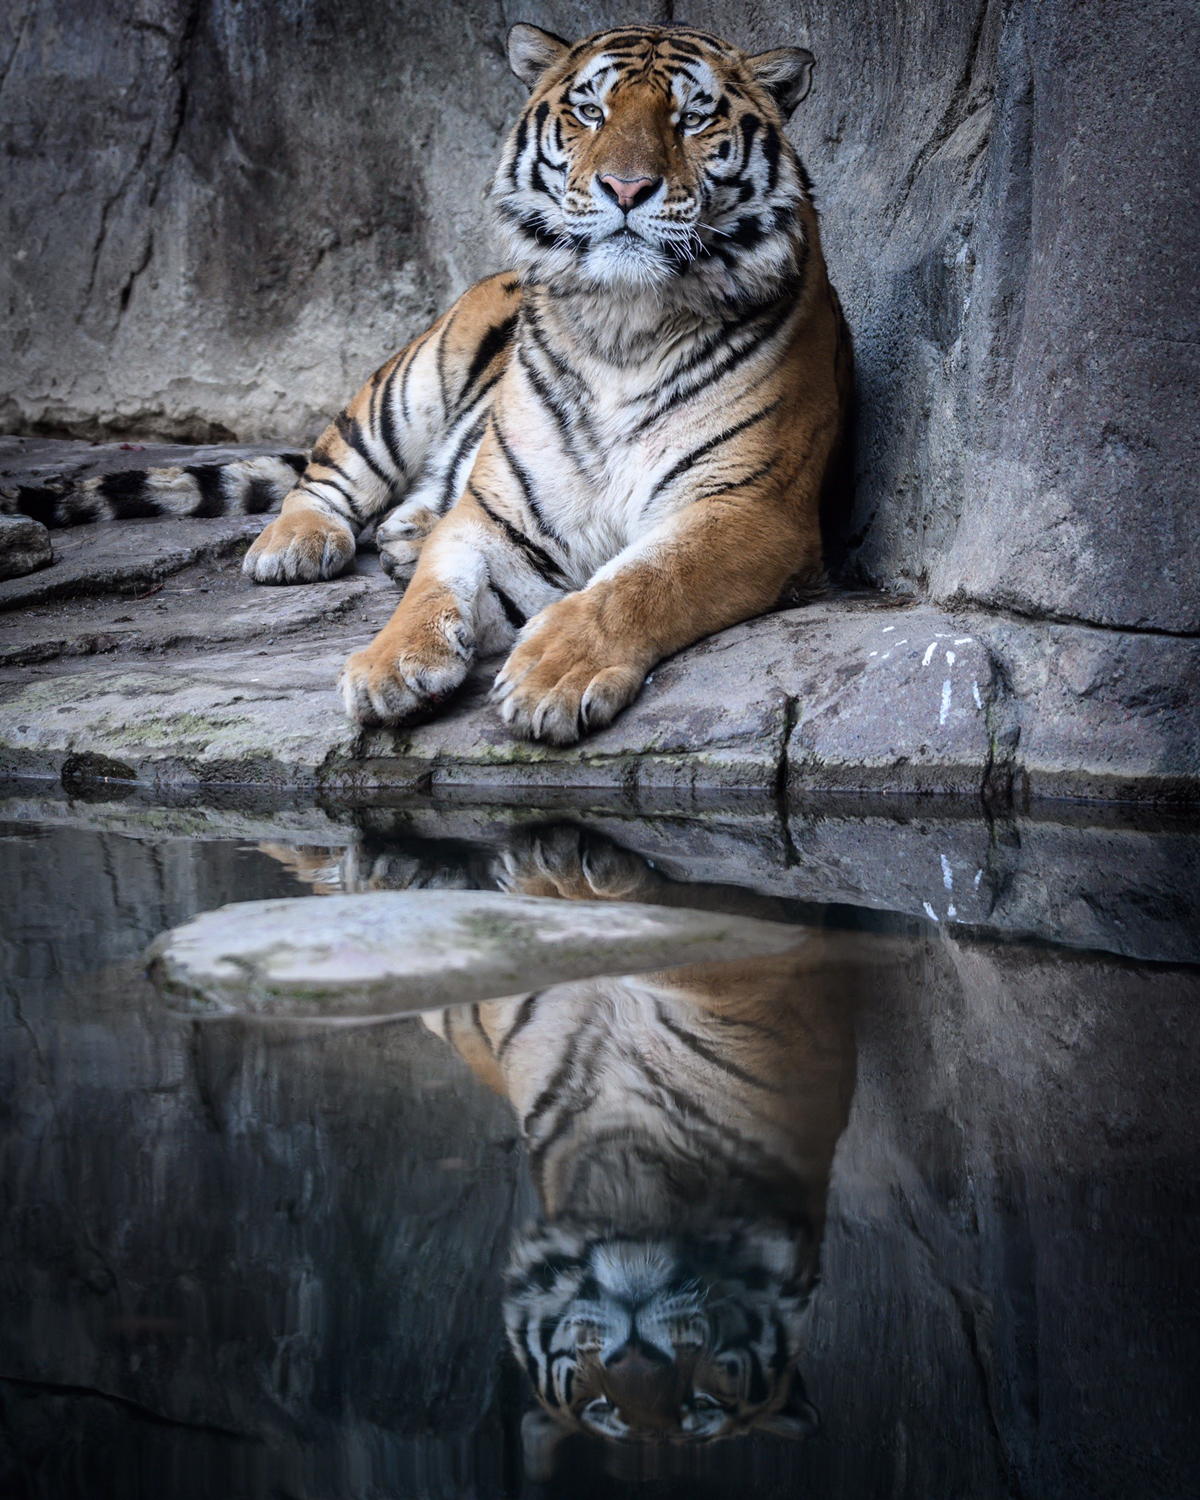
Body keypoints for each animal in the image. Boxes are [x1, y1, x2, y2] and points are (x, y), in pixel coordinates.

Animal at [241, 21, 853, 744]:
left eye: (692, 119)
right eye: (591, 112)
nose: (626, 187)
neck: (624, 327)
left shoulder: (751, 508)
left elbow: (644, 582)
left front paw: (552, 673)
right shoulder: (502, 515)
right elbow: (435, 585)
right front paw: (390, 664)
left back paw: (404, 536)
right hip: (407, 387)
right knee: (325, 475)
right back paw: (296, 545)